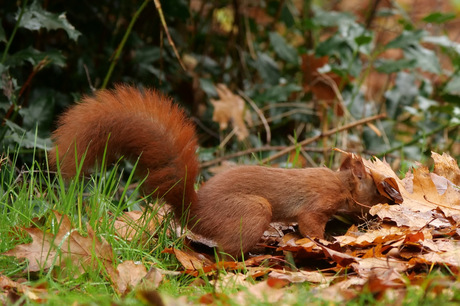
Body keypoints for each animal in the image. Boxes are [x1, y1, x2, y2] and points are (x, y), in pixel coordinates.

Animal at [50, 86, 388, 258]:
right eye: (376, 186)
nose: (383, 206)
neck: (340, 184)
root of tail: (193, 212)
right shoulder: (316, 205)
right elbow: (310, 225)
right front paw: (324, 241)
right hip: (253, 210)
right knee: (226, 252)